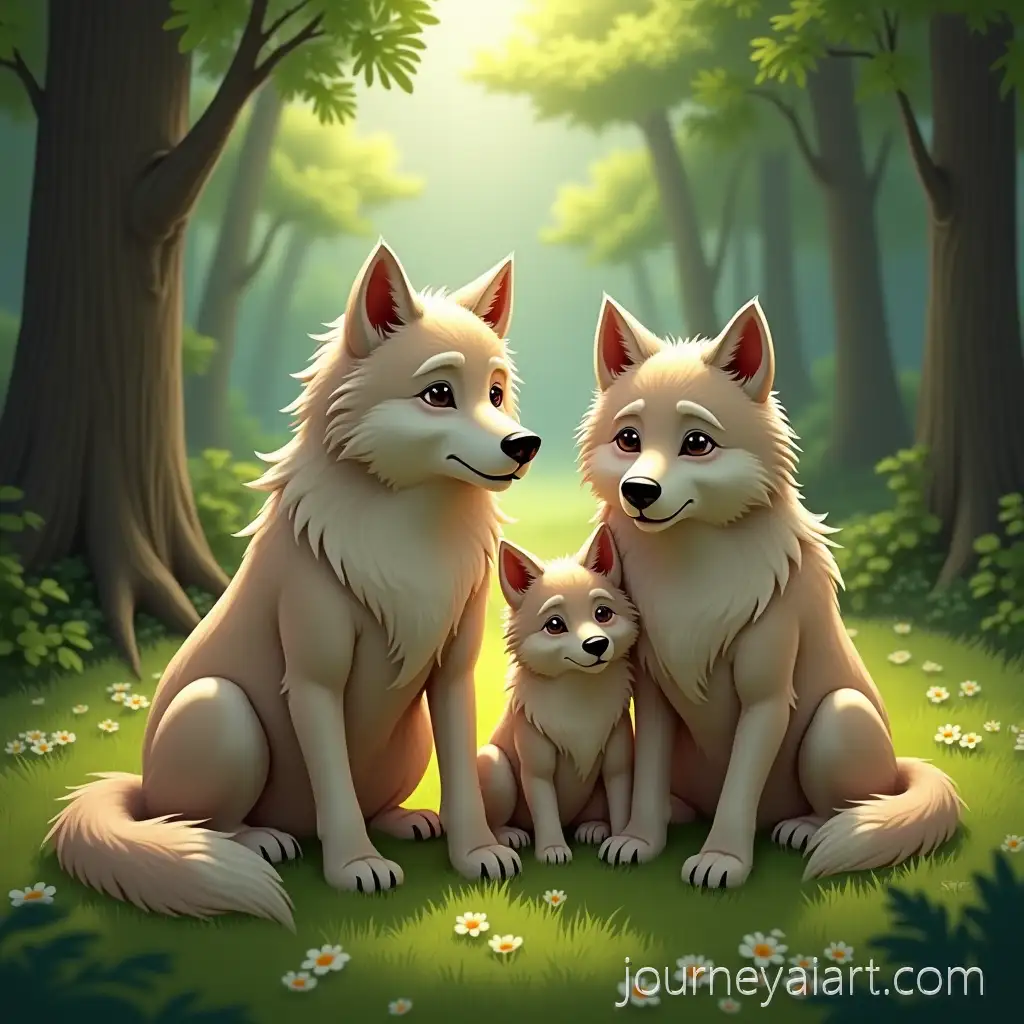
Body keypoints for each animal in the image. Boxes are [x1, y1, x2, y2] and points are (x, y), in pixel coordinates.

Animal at [45, 239, 542, 928]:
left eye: (495, 393)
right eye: (439, 394)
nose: (525, 444)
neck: (411, 531)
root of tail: (139, 788)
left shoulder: (452, 674)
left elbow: (464, 779)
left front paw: (478, 854)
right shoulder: (312, 680)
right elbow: (334, 784)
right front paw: (355, 868)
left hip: (405, 734)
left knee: (373, 802)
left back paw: (405, 819)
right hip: (220, 709)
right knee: (199, 825)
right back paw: (259, 840)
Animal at [476, 524, 638, 864]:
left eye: (603, 613)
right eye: (554, 624)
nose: (597, 644)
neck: (579, 697)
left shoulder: (617, 759)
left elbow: (620, 799)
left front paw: (619, 839)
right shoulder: (537, 768)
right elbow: (545, 810)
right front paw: (552, 850)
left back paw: (593, 827)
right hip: (494, 765)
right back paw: (508, 835)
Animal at [577, 294, 962, 888]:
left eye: (697, 443)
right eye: (628, 440)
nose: (638, 490)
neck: (689, 576)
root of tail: (900, 765)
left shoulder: (766, 698)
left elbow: (740, 787)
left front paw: (722, 861)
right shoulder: (657, 690)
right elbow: (646, 775)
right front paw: (639, 840)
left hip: (839, 718)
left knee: (850, 805)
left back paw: (804, 828)